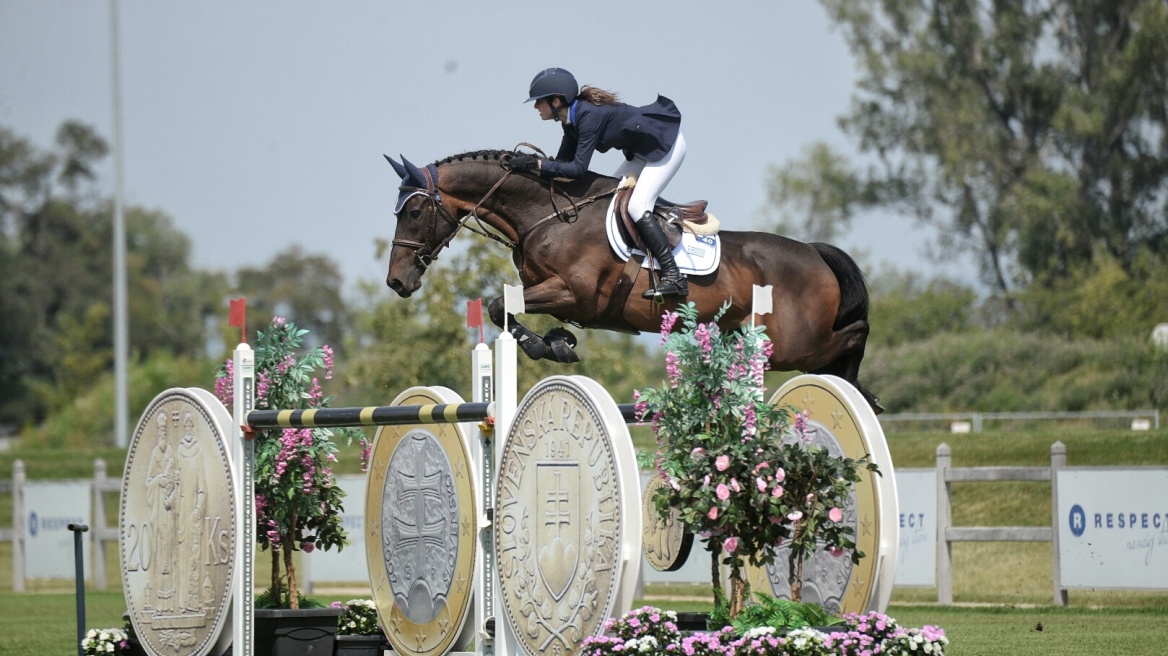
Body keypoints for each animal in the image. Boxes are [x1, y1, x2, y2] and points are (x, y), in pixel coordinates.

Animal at [385, 150, 883, 410]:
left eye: (415, 212)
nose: (396, 282)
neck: (547, 214)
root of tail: (815, 253)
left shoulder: (574, 293)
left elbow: (497, 305)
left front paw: (548, 346)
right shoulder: (553, 293)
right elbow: (502, 307)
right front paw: (557, 342)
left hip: (797, 344)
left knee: (856, 332)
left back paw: (862, 390)